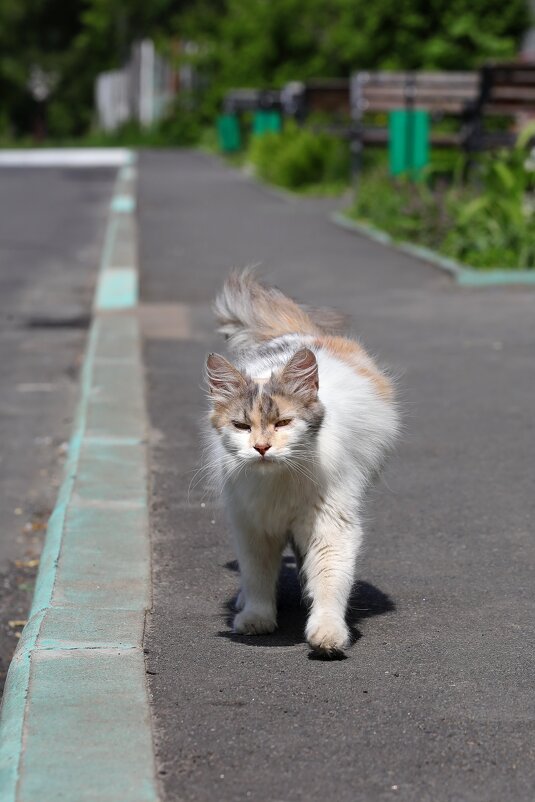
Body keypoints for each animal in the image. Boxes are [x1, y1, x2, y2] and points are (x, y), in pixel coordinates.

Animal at [205, 268, 398, 656]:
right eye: (242, 426)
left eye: (282, 423)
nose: (262, 447)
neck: (278, 480)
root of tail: (300, 336)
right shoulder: (252, 525)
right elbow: (258, 575)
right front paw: (256, 619)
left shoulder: (331, 524)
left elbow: (330, 579)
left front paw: (327, 634)